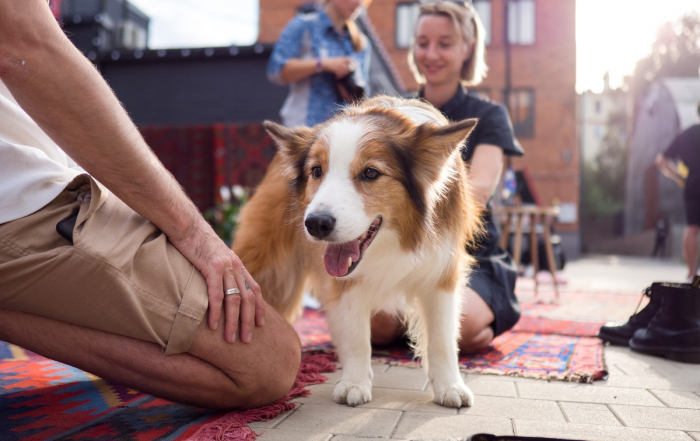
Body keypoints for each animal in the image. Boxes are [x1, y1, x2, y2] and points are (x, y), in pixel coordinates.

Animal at [234, 95, 482, 406]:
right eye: (316, 171)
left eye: (371, 173)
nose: (316, 224)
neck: (393, 240)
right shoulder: (345, 282)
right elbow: (355, 336)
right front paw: (354, 382)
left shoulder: (441, 273)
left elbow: (442, 339)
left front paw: (450, 386)